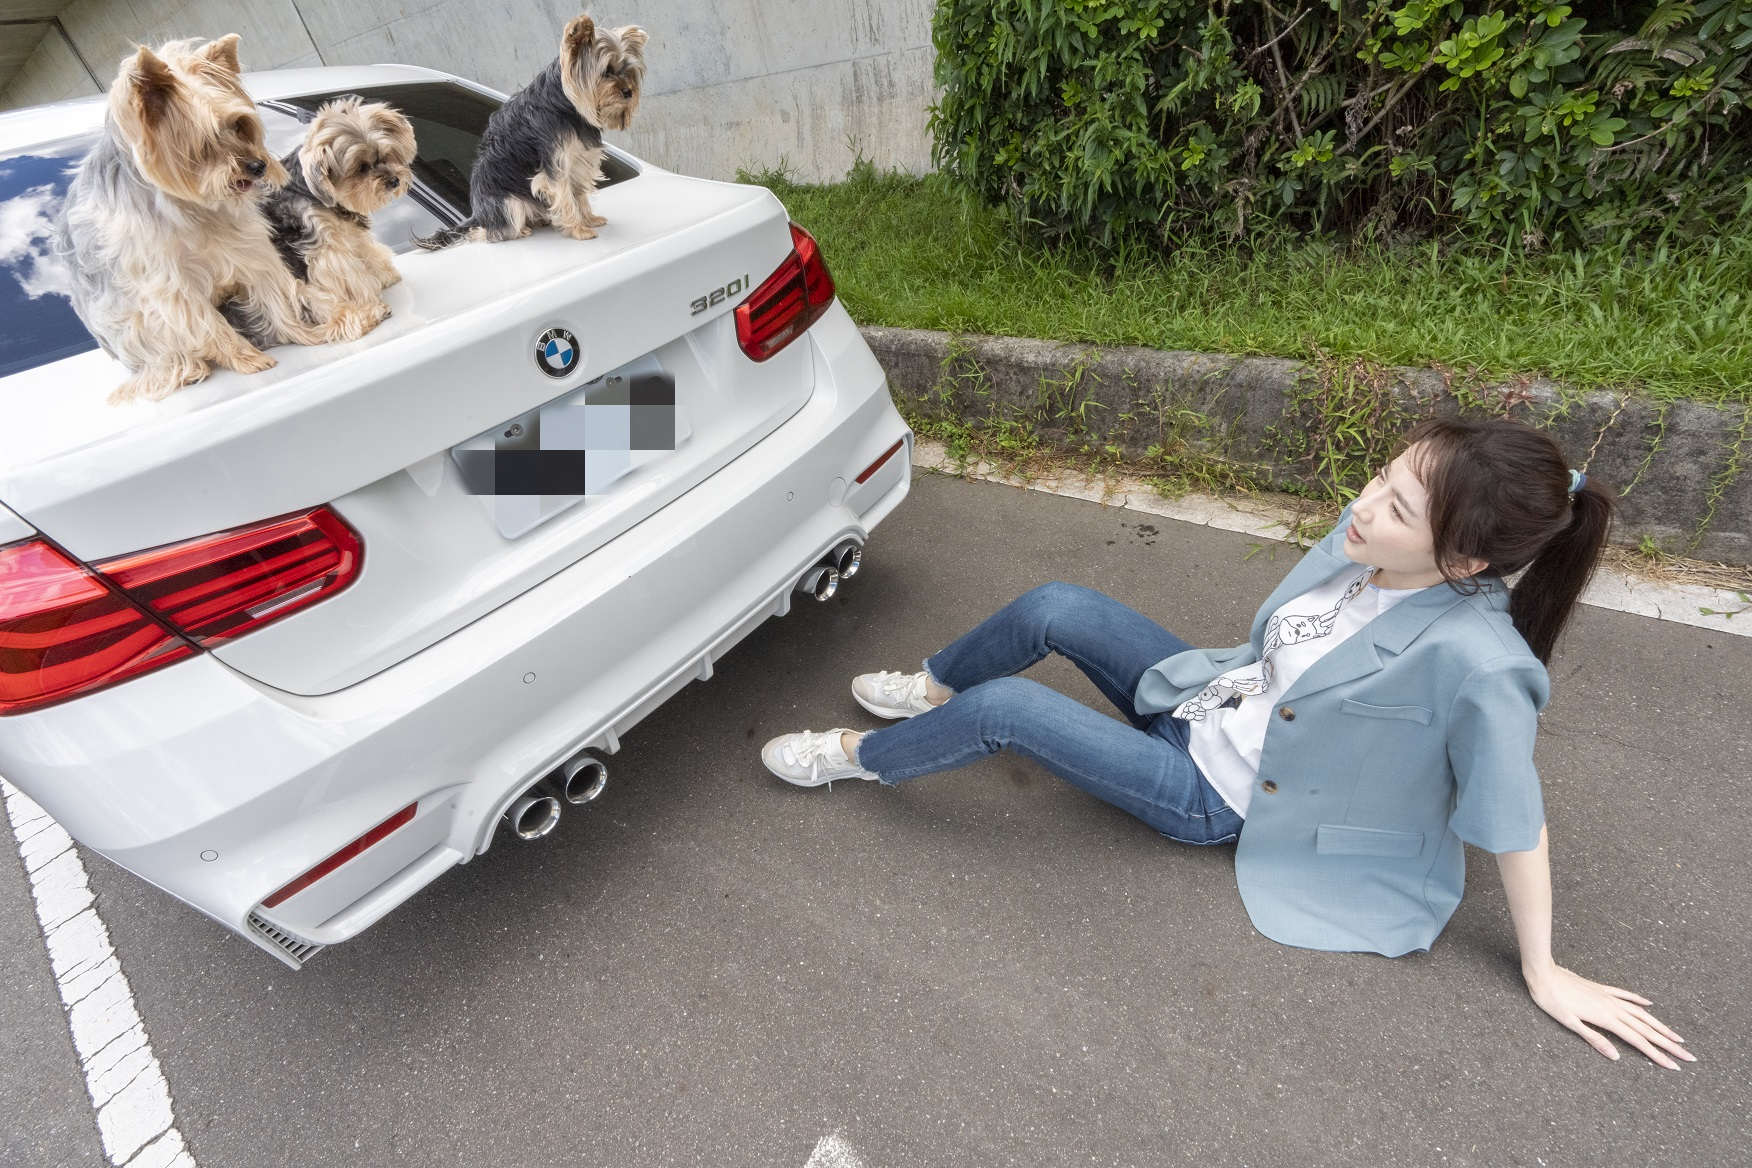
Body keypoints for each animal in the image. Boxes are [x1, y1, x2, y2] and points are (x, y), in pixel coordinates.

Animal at [57, 35, 348, 406]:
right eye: (206, 142)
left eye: (240, 125)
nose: (258, 166)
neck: (194, 203)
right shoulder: (172, 284)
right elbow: (205, 322)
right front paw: (247, 359)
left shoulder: (246, 249)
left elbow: (273, 295)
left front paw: (305, 333)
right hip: (135, 331)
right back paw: (187, 369)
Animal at [413, 12, 648, 252]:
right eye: (606, 72)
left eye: (628, 71)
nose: (629, 92)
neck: (566, 104)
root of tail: (478, 214)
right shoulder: (554, 166)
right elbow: (566, 197)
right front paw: (579, 230)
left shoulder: (577, 160)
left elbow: (578, 193)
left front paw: (589, 219)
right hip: (507, 204)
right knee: (487, 232)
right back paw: (519, 230)